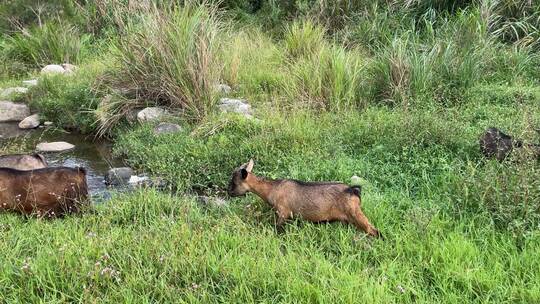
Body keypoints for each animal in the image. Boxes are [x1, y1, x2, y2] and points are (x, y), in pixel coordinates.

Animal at [228, 159, 380, 238]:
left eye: (234, 182)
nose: (228, 192)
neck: (273, 188)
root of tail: (353, 190)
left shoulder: (283, 213)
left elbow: (277, 229)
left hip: (356, 214)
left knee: (374, 231)